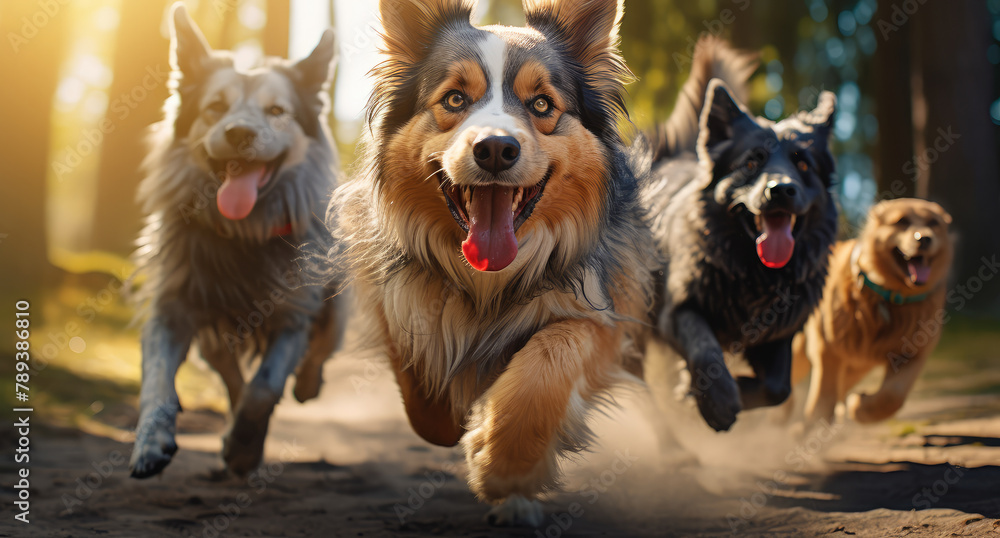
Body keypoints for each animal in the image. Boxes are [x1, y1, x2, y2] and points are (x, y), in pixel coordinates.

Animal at [127, 3, 346, 474]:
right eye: (216, 106)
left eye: (277, 110)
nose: (239, 133)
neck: (245, 232)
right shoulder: (172, 307)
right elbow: (157, 382)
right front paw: (152, 443)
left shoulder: (293, 314)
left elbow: (265, 387)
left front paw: (245, 447)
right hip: (211, 332)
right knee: (229, 375)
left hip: (336, 308)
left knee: (320, 350)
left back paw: (306, 386)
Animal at [330, 0, 656, 524]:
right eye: (455, 99)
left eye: (541, 105)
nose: (497, 149)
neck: (489, 278)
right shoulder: (390, 294)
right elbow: (421, 370)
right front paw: (454, 419)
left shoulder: (602, 312)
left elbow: (550, 356)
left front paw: (504, 462)